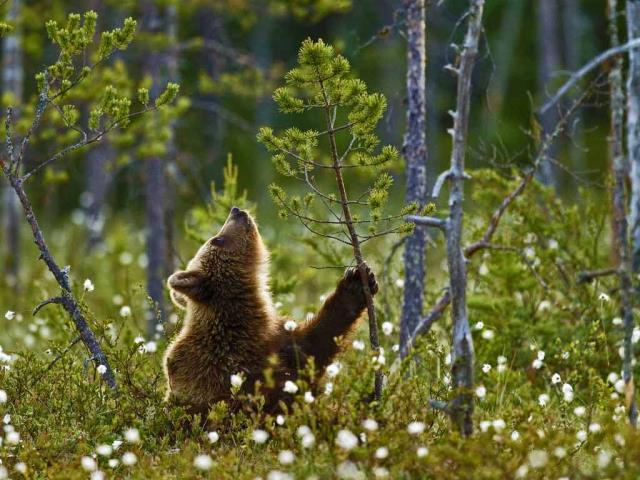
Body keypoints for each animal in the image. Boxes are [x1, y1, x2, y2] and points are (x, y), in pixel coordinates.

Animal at [163, 206, 378, 417]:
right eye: (217, 240)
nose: (236, 210)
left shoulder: (279, 337)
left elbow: (319, 340)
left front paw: (357, 281)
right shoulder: (226, 367)